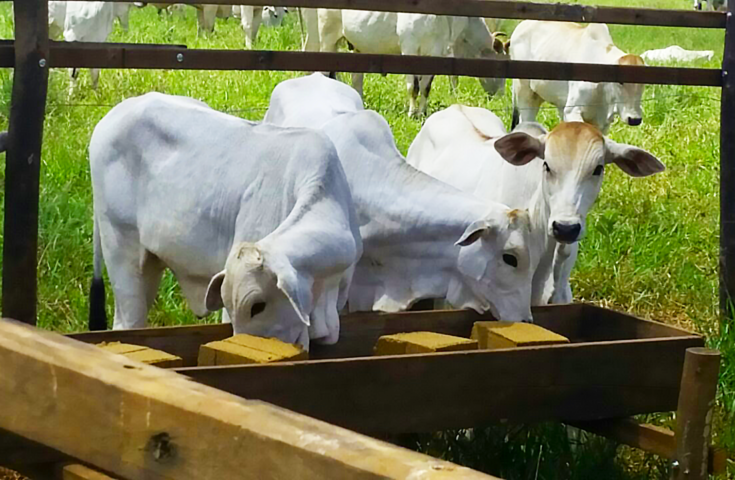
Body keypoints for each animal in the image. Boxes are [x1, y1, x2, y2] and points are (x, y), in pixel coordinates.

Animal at [320, 11, 508, 117]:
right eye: (501, 67)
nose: (500, 96)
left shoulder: (435, 53)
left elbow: (425, 87)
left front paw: (422, 112)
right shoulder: (410, 49)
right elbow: (414, 87)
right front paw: (412, 112)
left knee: (356, 78)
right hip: (327, 36)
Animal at [508, 20, 648, 133]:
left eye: (643, 83)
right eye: (620, 82)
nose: (634, 119)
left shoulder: (602, 123)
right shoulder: (572, 111)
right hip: (524, 92)